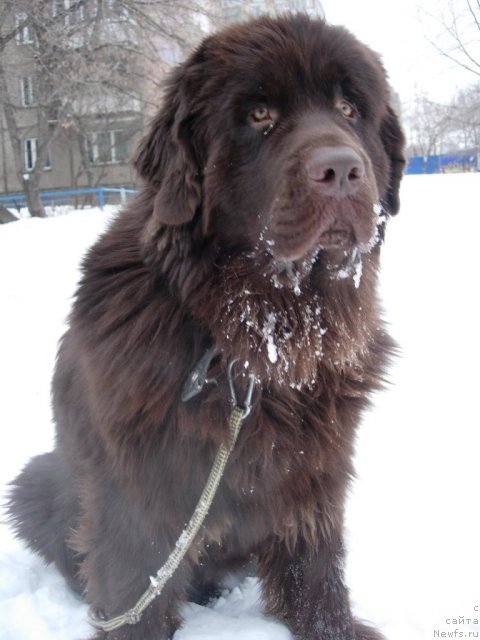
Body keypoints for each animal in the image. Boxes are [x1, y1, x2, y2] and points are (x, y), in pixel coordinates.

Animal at [8, 13, 404, 640]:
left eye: (349, 108)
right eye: (260, 114)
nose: (342, 169)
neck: (258, 333)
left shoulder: (315, 464)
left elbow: (315, 561)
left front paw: (331, 629)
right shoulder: (138, 480)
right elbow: (136, 575)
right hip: (38, 476)